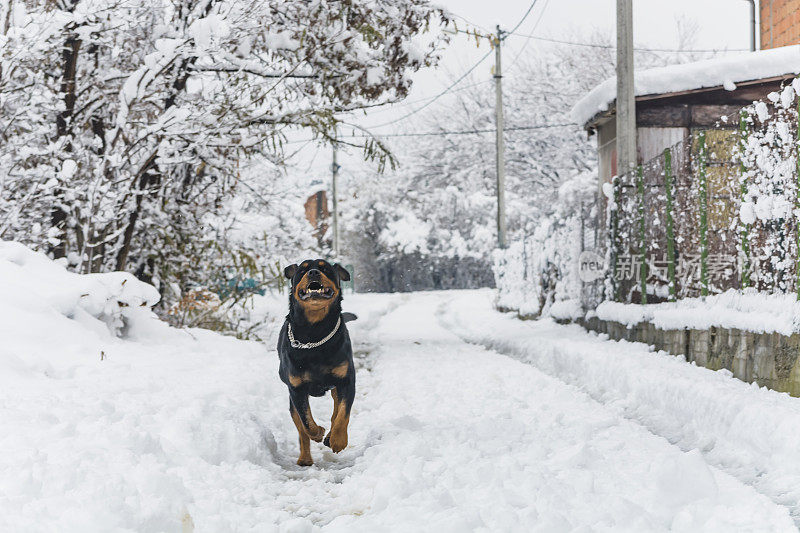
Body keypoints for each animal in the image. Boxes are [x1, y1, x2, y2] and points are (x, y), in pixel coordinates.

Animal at [280, 260, 358, 464]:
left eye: (325, 269)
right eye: (302, 270)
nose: (313, 272)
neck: (315, 332)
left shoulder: (346, 380)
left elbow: (343, 414)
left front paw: (338, 440)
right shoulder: (296, 389)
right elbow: (306, 422)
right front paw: (318, 432)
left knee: (336, 411)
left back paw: (331, 437)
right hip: (292, 401)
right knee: (301, 430)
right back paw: (305, 459)